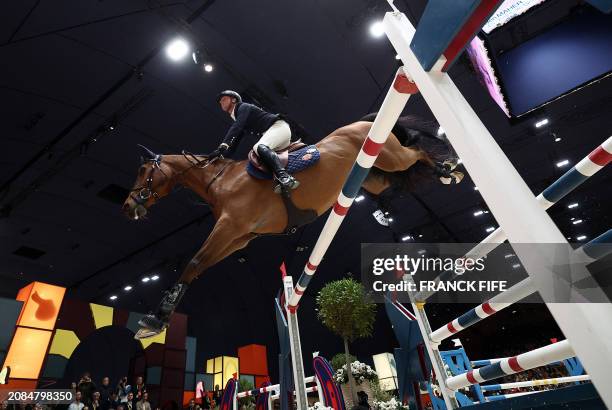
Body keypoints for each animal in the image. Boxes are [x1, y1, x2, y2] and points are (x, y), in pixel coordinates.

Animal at [122, 113, 462, 338]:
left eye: (142, 171)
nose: (127, 206)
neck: (219, 181)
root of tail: (365, 123)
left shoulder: (229, 227)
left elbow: (193, 262)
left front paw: (154, 320)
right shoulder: (239, 237)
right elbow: (198, 268)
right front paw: (159, 318)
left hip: (391, 158)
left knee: (416, 152)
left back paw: (449, 168)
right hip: (376, 175)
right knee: (405, 172)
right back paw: (440, 175)